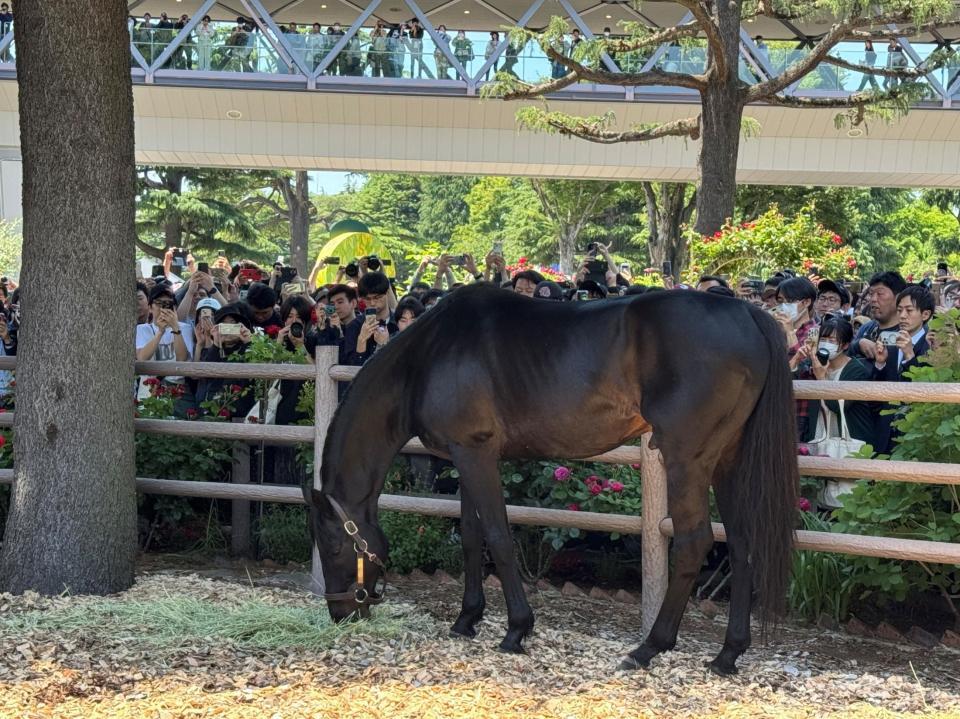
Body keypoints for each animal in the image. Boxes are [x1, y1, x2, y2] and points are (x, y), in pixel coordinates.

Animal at [303, 283, 799, 675]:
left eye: (334, 546)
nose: (341, 611)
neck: (427, 358)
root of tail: (748, 314)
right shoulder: (465, 458)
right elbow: (470, 537)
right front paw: (467, 620)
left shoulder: (476, 455)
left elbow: (498, 536)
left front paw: (516, 630)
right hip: (727, 460)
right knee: (740, 542)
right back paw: (727, 655)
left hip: (687, 458)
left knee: (695, 542)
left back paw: (648, 648)